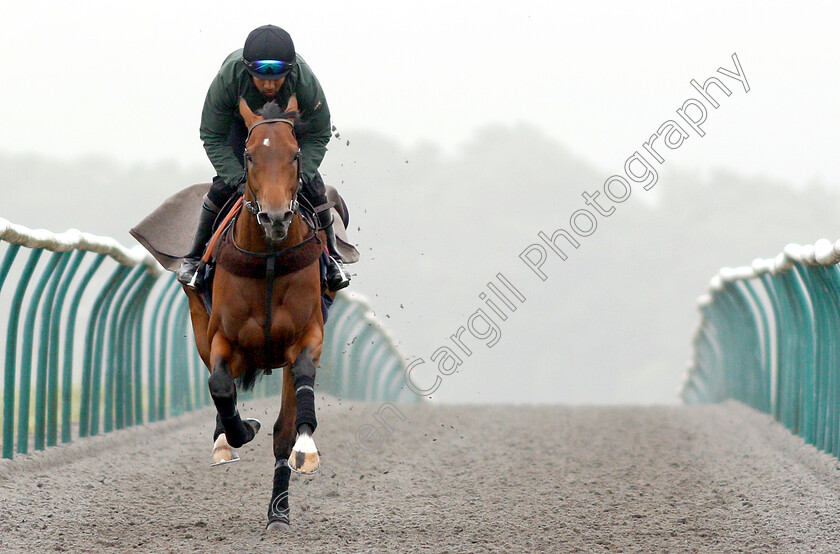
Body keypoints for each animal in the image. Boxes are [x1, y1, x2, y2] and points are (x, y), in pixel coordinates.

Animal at [182, 97, 326, 528]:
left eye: (295, 155)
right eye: (248, 155)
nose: (275, 217)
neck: (269, 259)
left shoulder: (306, 336)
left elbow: (297, 400)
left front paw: (306, 450)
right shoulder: (222, 338)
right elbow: (219, 385)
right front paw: (238, 431)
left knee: (283, 428)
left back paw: (278, 509)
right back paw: (223, 439)